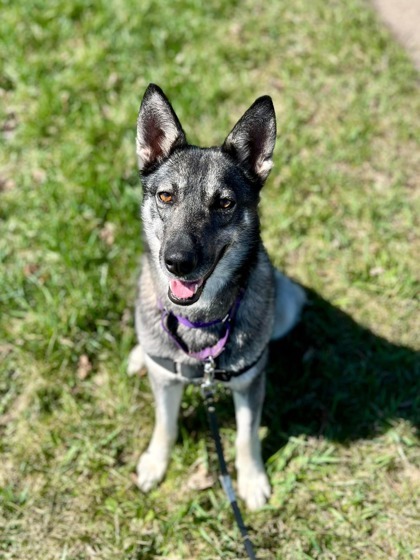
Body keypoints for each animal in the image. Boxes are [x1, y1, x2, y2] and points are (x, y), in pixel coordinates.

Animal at [128, 84, 306, 512]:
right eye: (166, 197)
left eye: (224, 203)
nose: (177, 262)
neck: (200, 320)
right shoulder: (167, 384)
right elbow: (165, 424)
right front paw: (155, 463)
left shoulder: (249, 384)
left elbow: (245, 436)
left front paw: (252, 481)